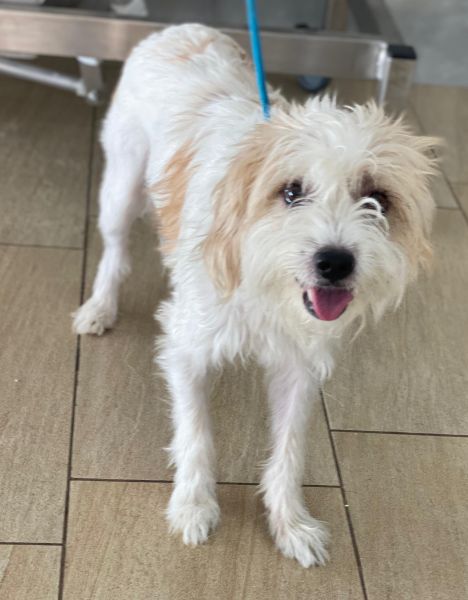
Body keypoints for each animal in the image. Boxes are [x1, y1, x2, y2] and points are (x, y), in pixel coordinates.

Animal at [73, 24, 438, 567]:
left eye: (378, 197)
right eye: (290, 192)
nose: (335, 262)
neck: (265, 285)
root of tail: (180, 29)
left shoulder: (298, 368)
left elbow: (289, 449)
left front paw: (291, 523)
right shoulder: (186, 351)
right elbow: (196, 434)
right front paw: (194, 505)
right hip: (122, 187)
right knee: (115, 250)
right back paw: (100, 307)